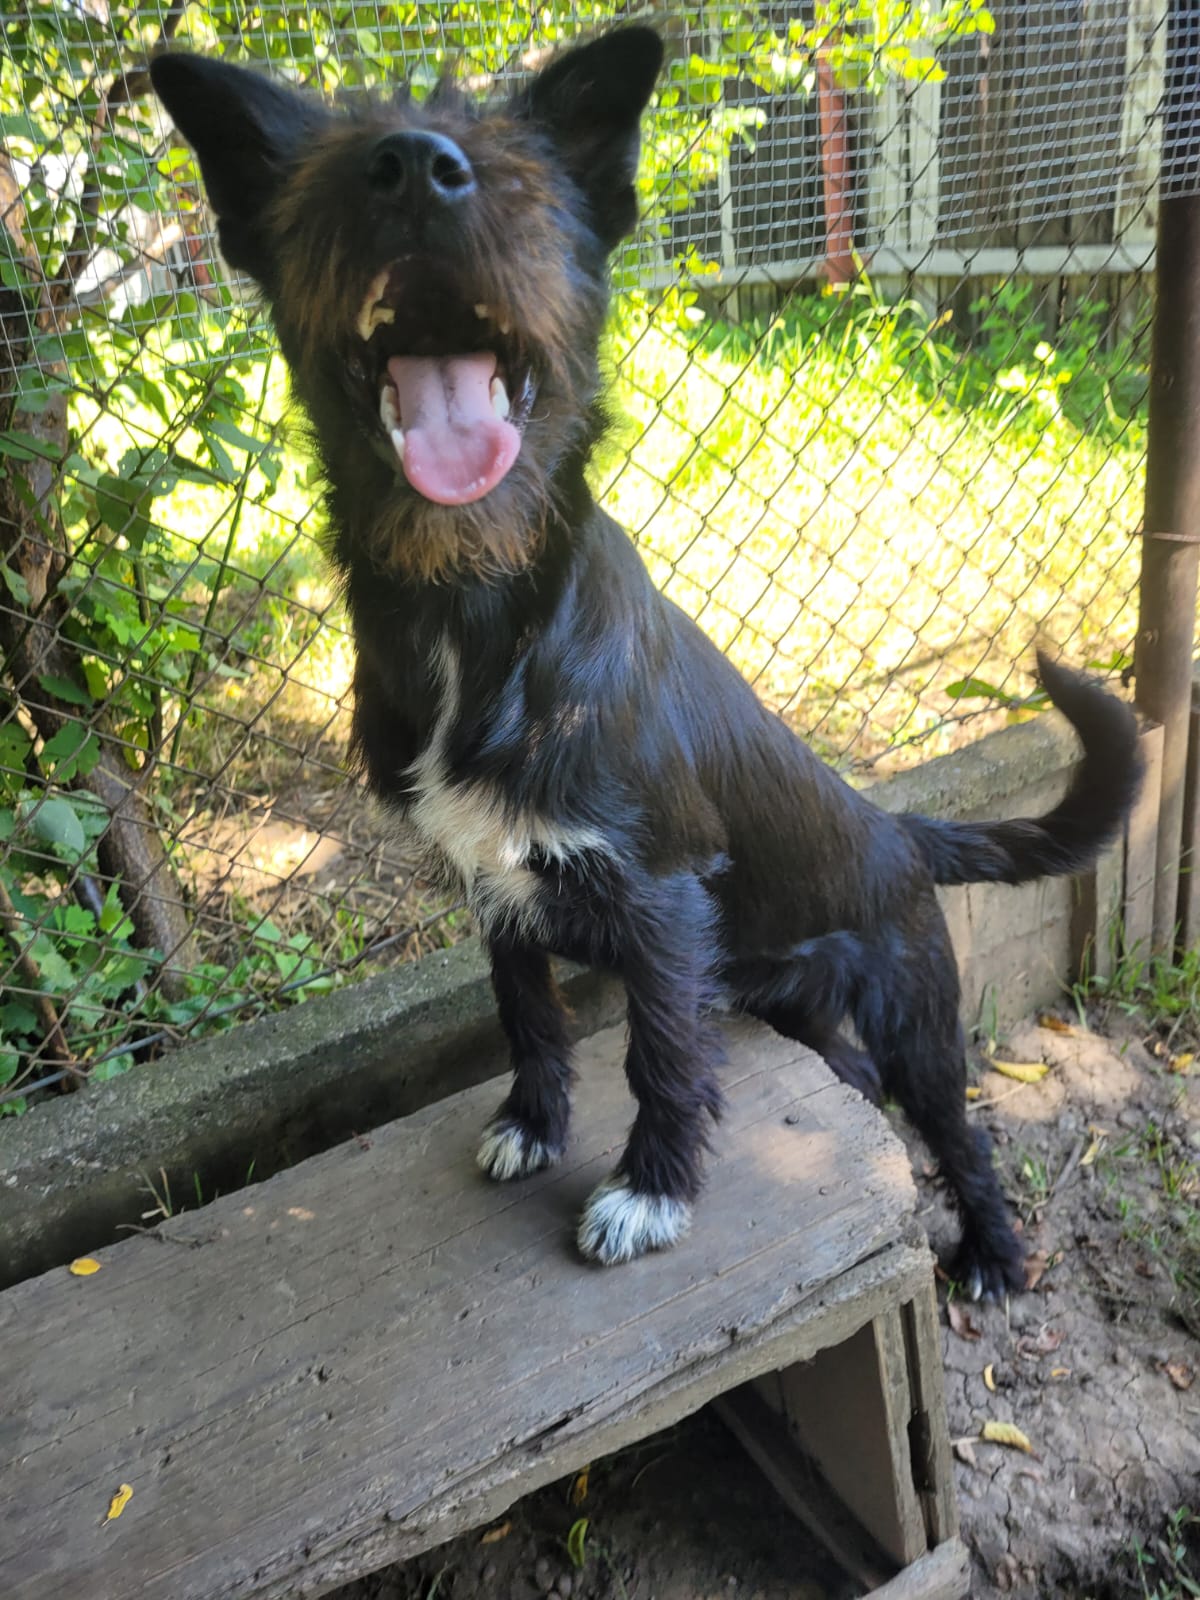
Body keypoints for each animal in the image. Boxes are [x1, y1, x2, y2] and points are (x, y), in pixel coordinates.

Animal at [150, 27, 1142, 1300]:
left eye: (521, 165)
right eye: (332, 167)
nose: (414, 168)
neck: (476, 611)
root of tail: (893, 824)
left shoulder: (662, 903)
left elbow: (663, 1057)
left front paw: (649, 1191)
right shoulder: (498, 892)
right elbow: (529, 1020)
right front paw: (533, 1124)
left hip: (915, 1012)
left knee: (957, 1128)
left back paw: (991, 1252)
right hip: (798, 1001)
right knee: (855, 1082)